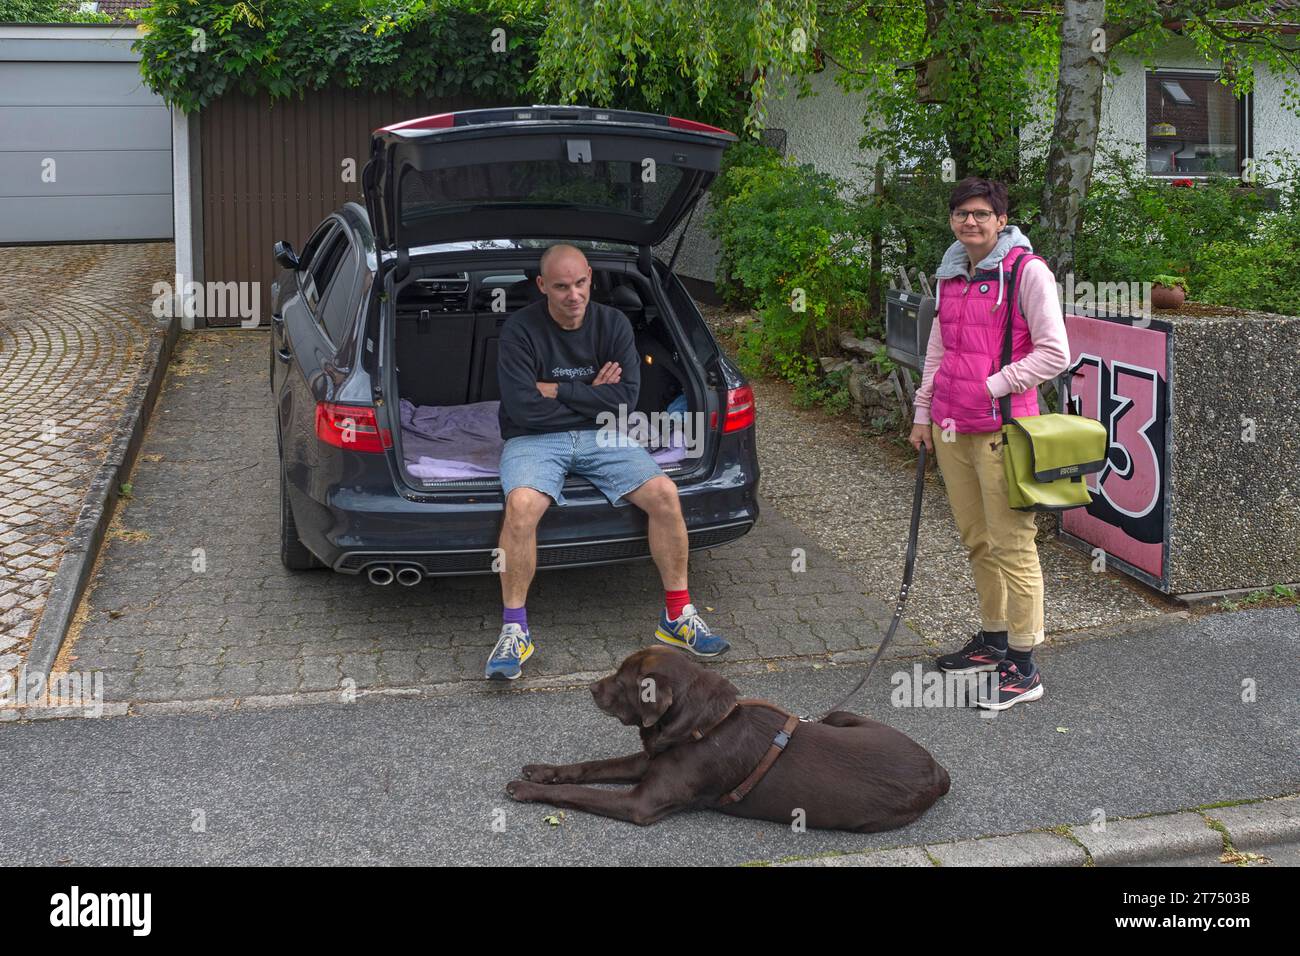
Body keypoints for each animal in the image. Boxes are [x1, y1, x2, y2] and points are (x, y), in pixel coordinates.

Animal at [501, 647, 951, 832]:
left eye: (626, 681)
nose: (592, 688)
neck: (702, 725)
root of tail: (938, 771)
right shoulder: (650, 760)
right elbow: (591, 767)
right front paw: (542, 770)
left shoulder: (640, 804)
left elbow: (579, 793)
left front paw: (526, 789)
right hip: (841, 717)